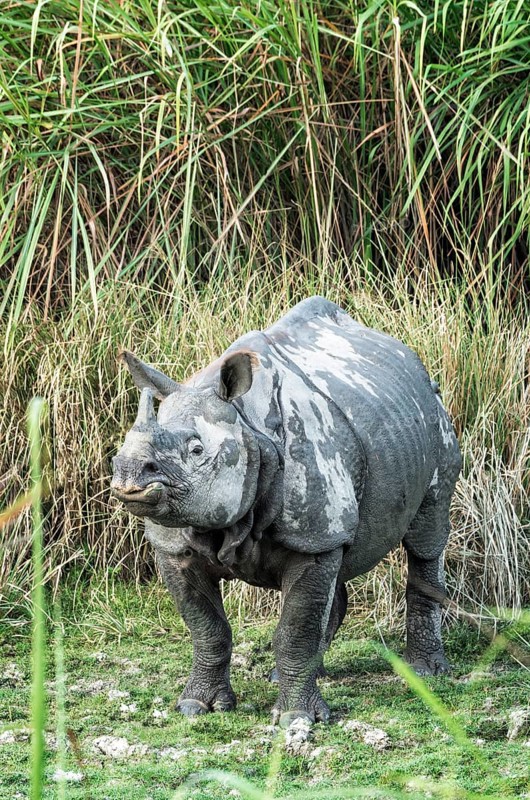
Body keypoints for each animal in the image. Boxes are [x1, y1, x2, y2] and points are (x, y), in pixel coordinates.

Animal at [111, 297, 461, 727]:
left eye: (196, 450)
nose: (128, 471)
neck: (247, 424)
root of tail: (415, 366)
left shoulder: (313, 533)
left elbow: (297, 627)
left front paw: (297, 717)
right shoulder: (174, 545)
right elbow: (207, 627)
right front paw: (197, 706)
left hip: (436, 420)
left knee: (426, 538)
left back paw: (425, 672)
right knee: (338, 566)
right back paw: (297, 673)